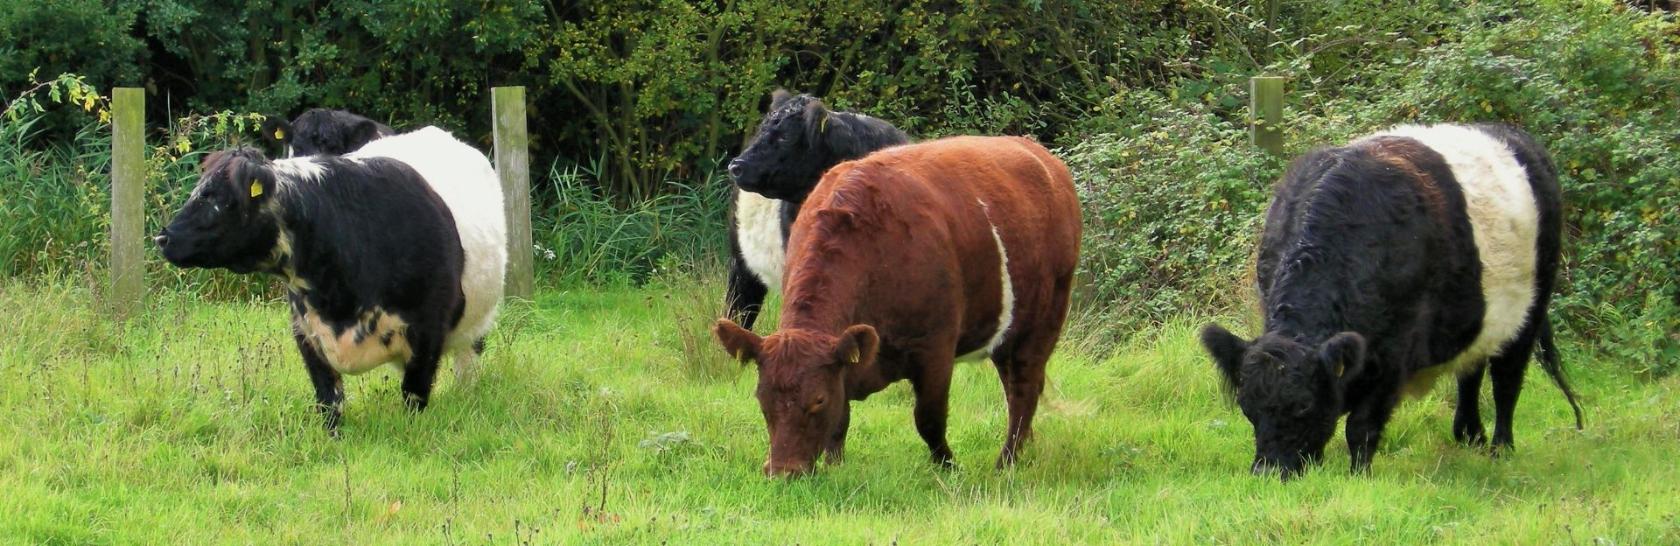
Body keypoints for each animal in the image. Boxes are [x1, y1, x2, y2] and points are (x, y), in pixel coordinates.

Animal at [156, 127, 507, 432]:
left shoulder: (427, 330)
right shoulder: (305, 331)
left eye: (218, 198)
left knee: (467, 365)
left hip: (477, 324)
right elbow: (329, 400)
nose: (163, 237)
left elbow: (414, 395)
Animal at [713, 136, 1082, 476]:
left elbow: (929, 419)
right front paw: (836, 467)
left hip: (1044, 319)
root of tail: (1041, 155)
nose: (783, 470)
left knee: (1024, 389)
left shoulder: (935, 350)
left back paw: (1006, 463)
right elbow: (840, 421)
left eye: (818, 399)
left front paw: (949, 468)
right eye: (762, 399)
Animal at [1199, 123, 1585, 480]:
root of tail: (1516, 136)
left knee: (1507, 380)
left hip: (1531, 307)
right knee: (1471, 371)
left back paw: (1500, 448)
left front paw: (1359, 478)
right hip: (1474, 317)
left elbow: (1361, 426)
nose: (1268, 471)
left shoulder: (1393, 353)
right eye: (1247, 407)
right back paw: (1469, 436)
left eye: (1304, 406)